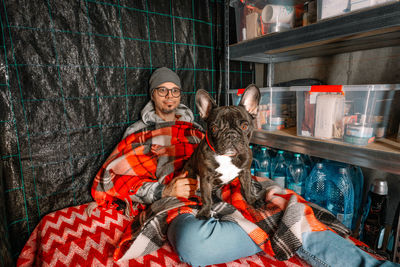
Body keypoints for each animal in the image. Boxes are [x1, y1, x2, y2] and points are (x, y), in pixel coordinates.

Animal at [183, 85, 260, 219]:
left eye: (244, 127)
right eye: (214, 128)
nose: (231, 135)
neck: (227, 156)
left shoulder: (245, 171)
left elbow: (247, 188)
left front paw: (251, 200)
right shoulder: (206, 177)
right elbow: (206, 197)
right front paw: (204, 212)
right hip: (191, 174)